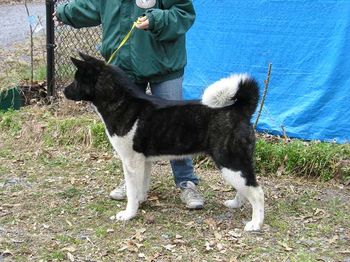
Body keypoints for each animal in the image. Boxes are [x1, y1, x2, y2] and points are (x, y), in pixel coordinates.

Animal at [63, 53, 266, 231]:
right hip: (235, 165)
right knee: (246, 186)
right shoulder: (143, 161)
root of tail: (240, 110)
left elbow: (131, 190)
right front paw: (140, 202)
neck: (121, 102)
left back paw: (255, 224)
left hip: (230, 162)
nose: (64, 91)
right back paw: (235, 204)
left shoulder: (131, 161)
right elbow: (140, 187)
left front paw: (128, 214)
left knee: (257, 192)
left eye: (77, 79)